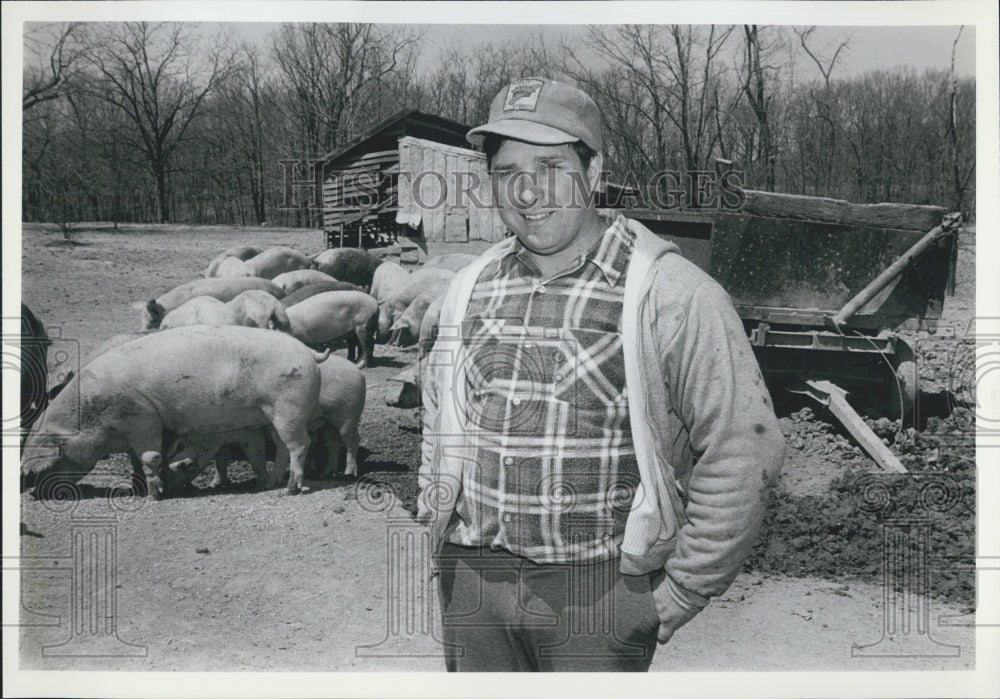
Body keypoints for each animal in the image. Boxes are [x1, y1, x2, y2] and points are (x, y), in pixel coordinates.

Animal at [22, 326, 328, 498]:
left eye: (50, 464)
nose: (35, 493)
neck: (95, 416)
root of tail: (309, 353)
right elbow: (148, 459)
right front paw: (148, 489)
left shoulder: (144, 418)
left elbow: (151, 457)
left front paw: (153, 496)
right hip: (274, 415)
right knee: (281, 446)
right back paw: (270, 485)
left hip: (290, 408)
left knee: (300, 444)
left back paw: (290, 490)